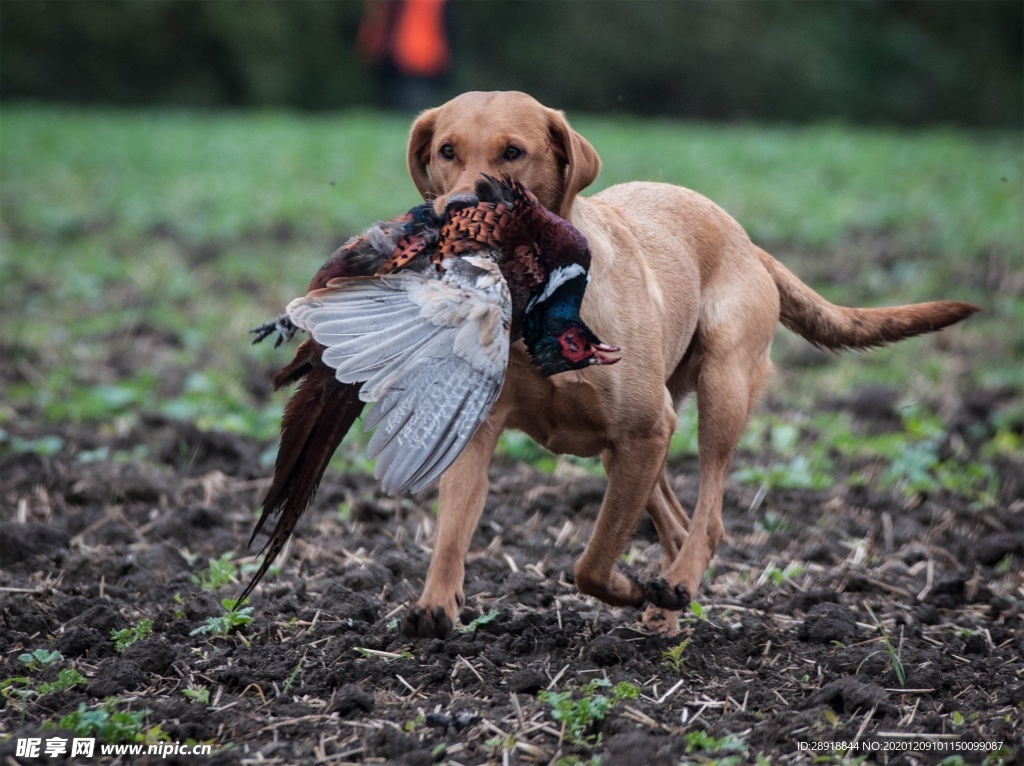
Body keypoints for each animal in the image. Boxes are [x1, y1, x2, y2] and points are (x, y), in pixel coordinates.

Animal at [399, 89, 974, 639]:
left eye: (513, 152)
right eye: (446, 151)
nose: (459, 206)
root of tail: (750, 243)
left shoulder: (645, 429)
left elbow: (594, 560)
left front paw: (629, 589)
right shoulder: (485, 430)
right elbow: (452, 529)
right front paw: (436, 604)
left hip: (719, 389)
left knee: (709, 518)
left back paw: (673, 587)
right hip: (639, 437)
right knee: (675, 523)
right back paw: (666, 606)